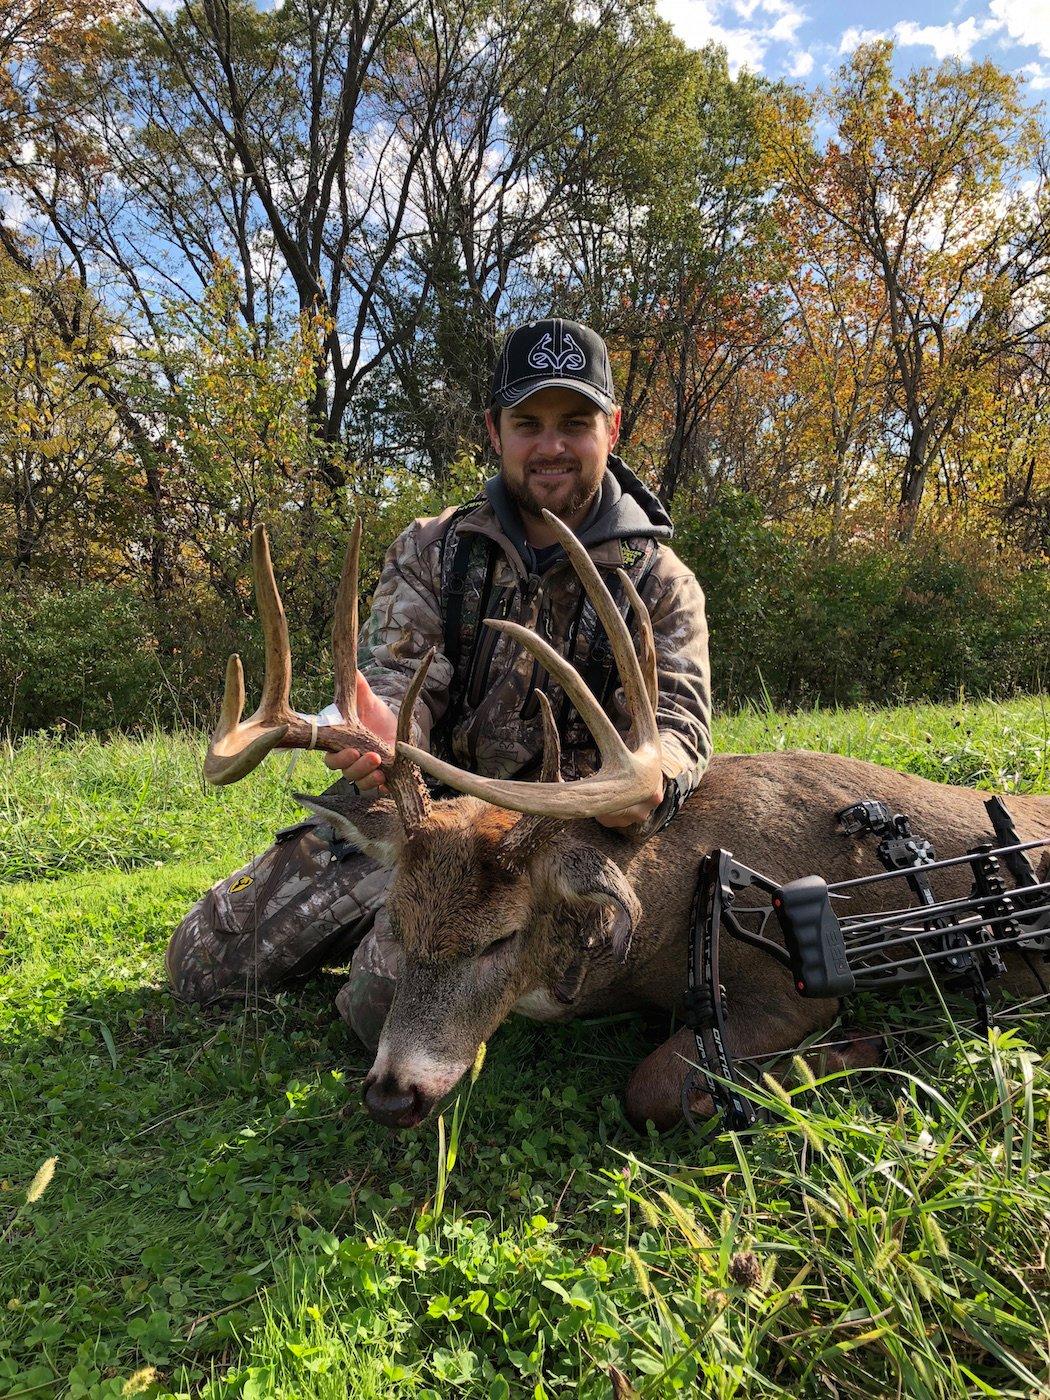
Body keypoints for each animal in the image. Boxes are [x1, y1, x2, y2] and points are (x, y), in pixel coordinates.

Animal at [205, 520, 1050, 1131]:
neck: (663, 905)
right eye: (399, 925)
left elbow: (653, 1085)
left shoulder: (793, 987)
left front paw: (848, 1053)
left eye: (501, 939)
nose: (391, 1095)